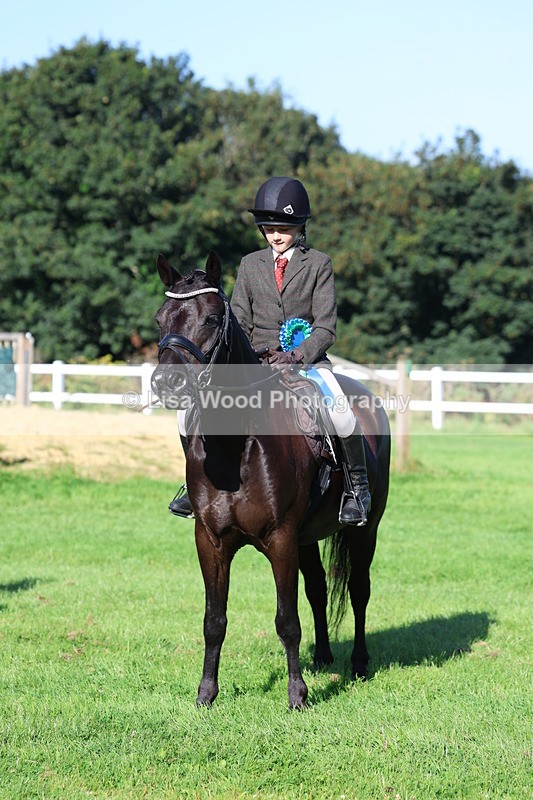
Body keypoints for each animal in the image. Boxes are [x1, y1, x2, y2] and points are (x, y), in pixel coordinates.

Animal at [151, 251, 390, 709]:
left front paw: (297, 695)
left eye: (212, 318)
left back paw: (359, 663)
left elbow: (287, 620)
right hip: (308, 536)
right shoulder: (210, 542)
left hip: (364, 529)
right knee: (318, 588)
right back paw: (324, 657)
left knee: (358, 589)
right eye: (160, 320)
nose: (165, 383)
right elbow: (214, 620)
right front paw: (206, 694)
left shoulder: (280, 538)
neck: (236, 449)